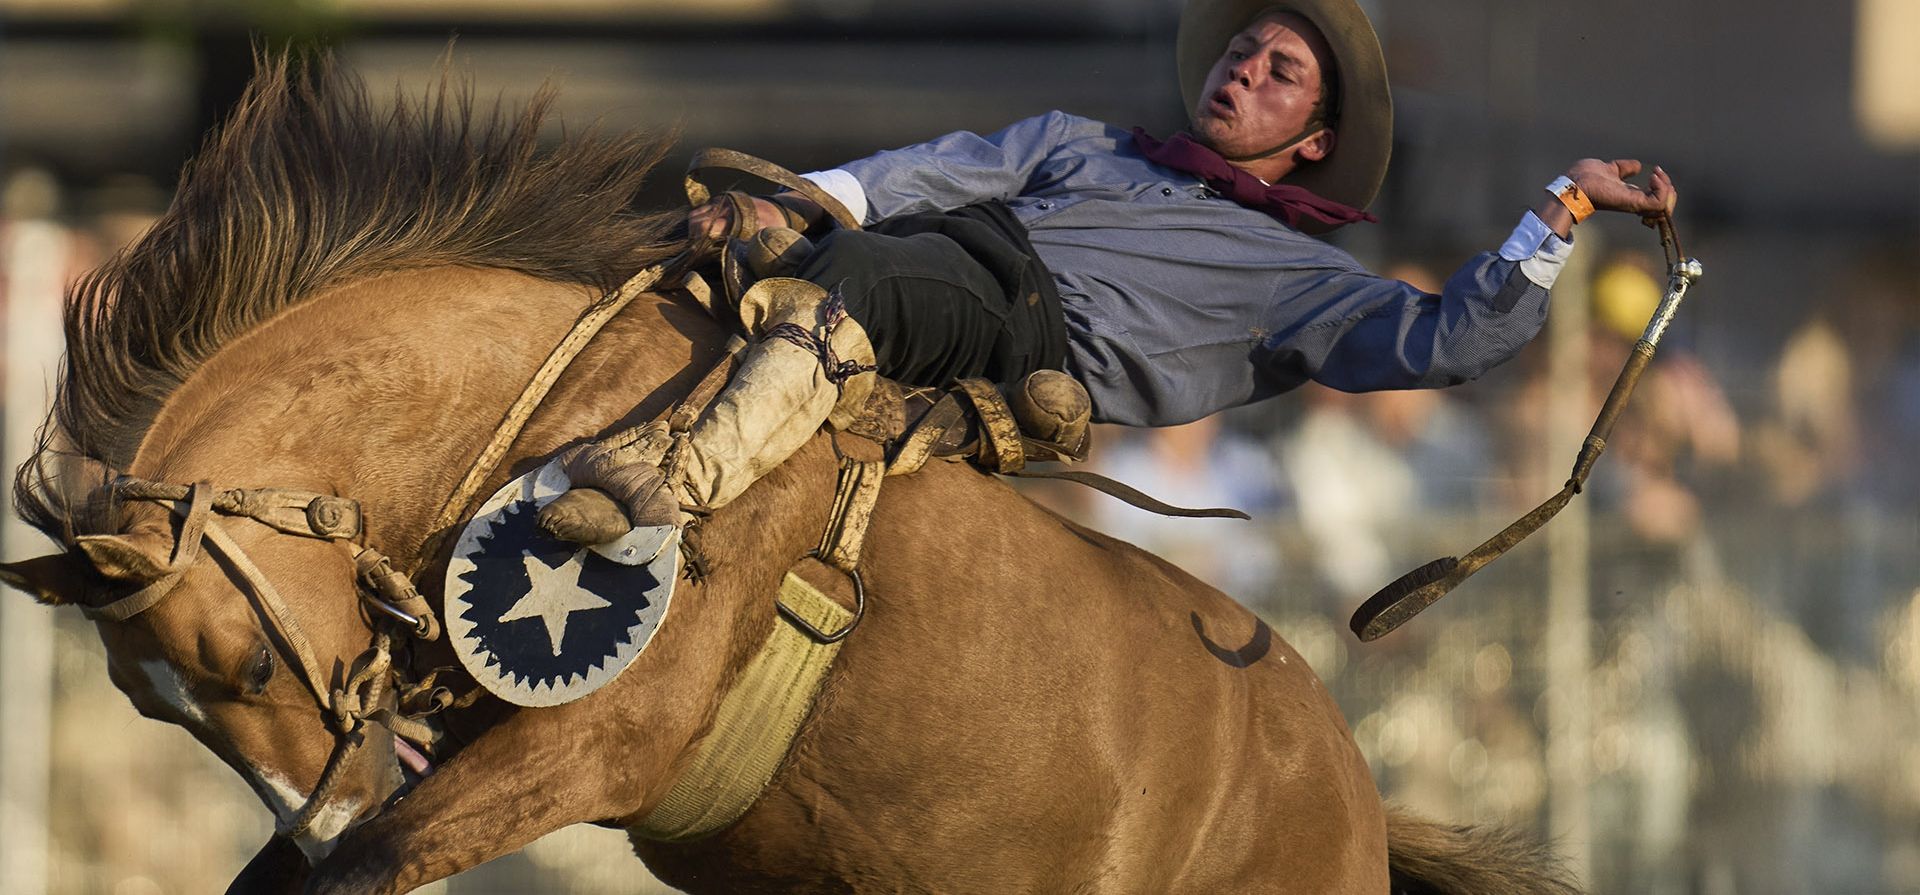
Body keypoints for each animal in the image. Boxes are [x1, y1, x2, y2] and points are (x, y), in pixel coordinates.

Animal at [2, 57, 1576, 894]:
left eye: (246, 666)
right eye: (160, 703)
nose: (321, 796)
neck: (563, 408)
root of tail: (1352, 787)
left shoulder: (575, 753)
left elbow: (359, 866)